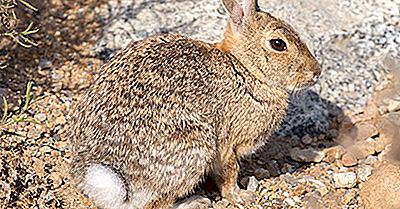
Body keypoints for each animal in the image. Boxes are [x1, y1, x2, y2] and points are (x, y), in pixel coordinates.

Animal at [69, 0, 322, 208]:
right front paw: (242, 197)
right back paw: (194, 202)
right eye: (278, 44)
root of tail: (118, 182)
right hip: (195, 146)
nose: (316, 71)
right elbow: (229, 174)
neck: (244, 69)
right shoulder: (228, 145)